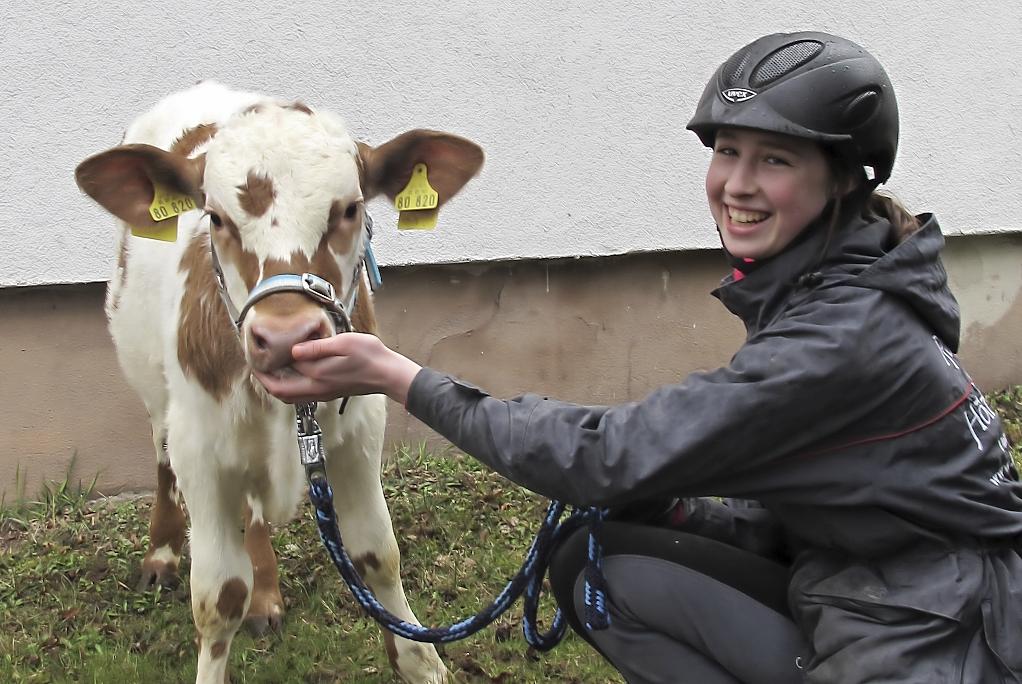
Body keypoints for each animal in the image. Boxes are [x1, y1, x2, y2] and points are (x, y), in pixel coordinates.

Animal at [75, 81, 482, 682]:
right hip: (149, 379)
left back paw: (265, 594)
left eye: (350, 209)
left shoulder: (361, 429)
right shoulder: (201, 448)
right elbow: (218, 596)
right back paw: (162, 554)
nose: (286, 336)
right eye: (216, 218)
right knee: (161, 450)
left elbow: (377, 556)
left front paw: (420, 663)